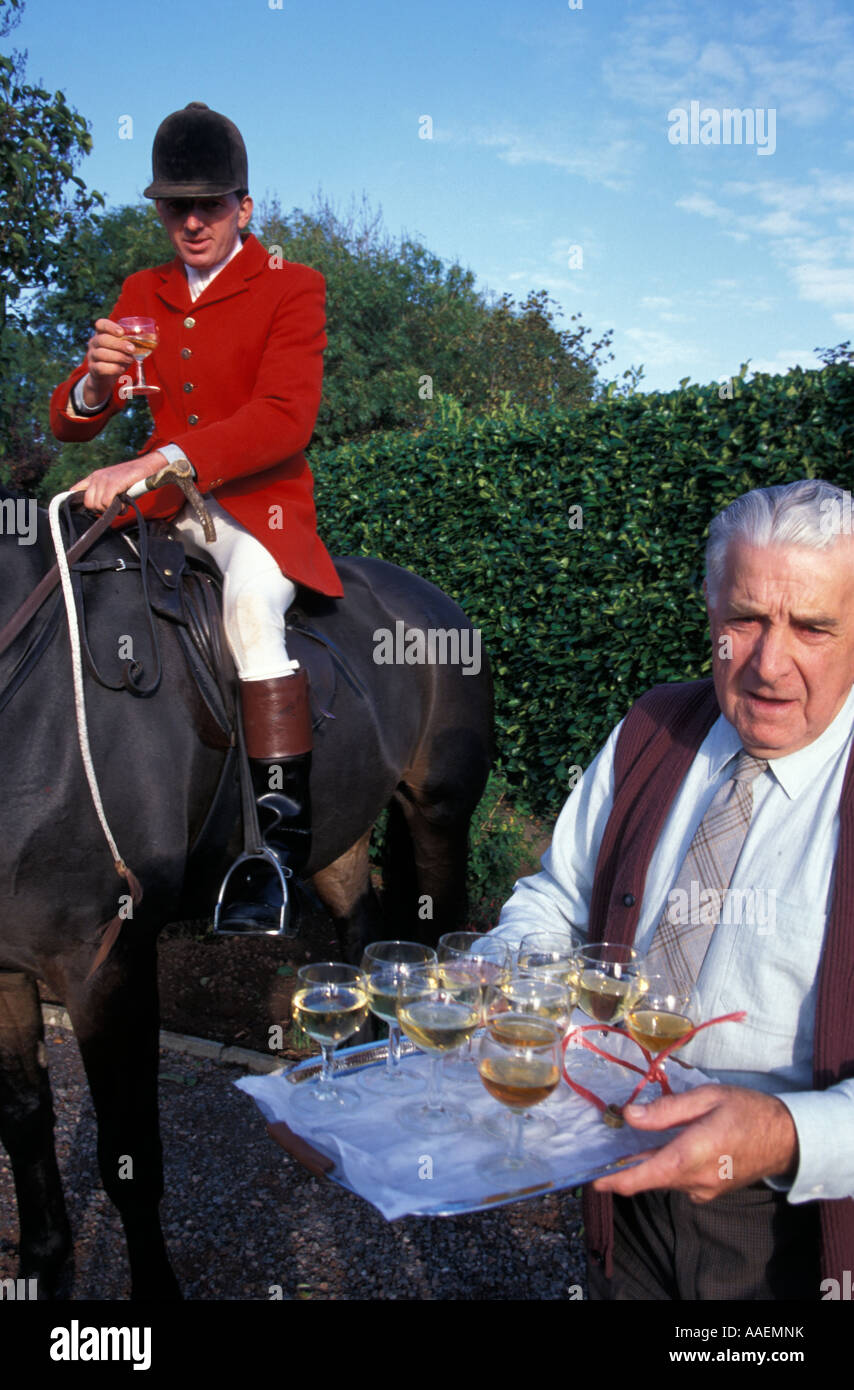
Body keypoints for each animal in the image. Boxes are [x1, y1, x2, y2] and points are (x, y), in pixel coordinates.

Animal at [0, 494, 495, 1295]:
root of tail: (425, 593)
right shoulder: (4, 971)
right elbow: (22, 1118)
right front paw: (43, 1264)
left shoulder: (107, 967)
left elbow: (129, 1158)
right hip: (339, 837)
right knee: (362, 936)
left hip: (440, 816)